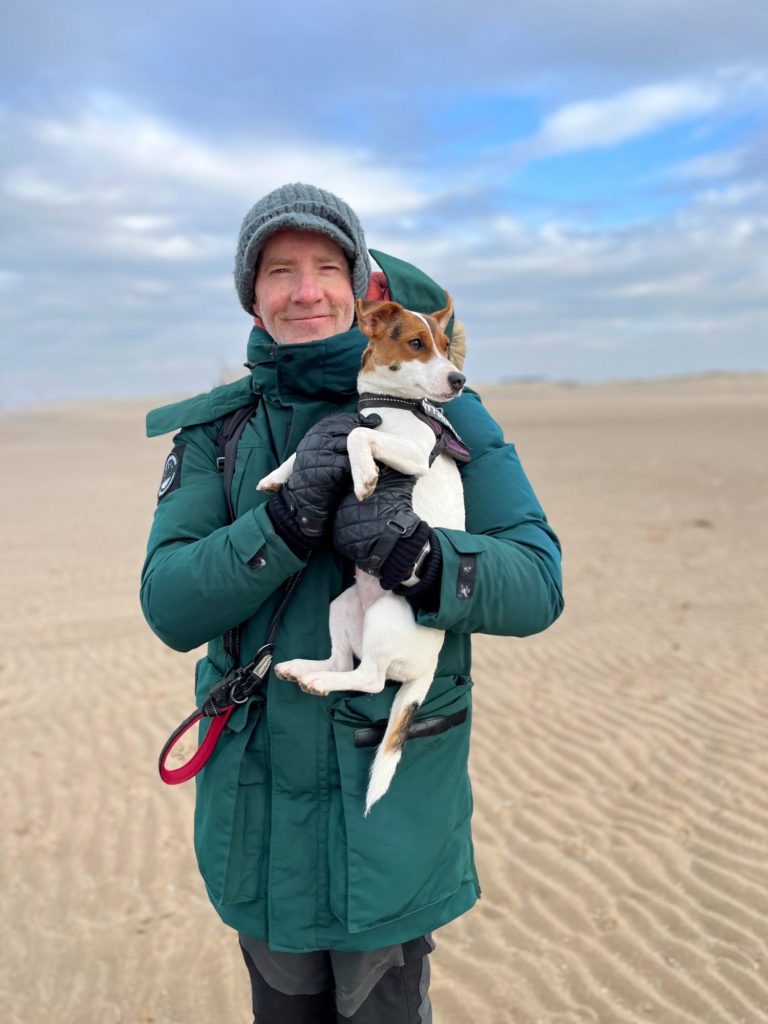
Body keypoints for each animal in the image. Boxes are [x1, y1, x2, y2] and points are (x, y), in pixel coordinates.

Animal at [257, 296, 467, 812]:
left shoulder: (410, 453)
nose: (459, 380)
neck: (387, 405)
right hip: (344, 604)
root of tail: (428, 670)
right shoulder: (347, 425)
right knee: (341, 663)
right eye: (417, 343)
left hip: (386, 616)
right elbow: (315, 444)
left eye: (444, 344)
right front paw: (277, 477)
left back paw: (319, 682)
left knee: (369, 678)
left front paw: (366, 478)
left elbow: (358, 438)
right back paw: (300, 670)